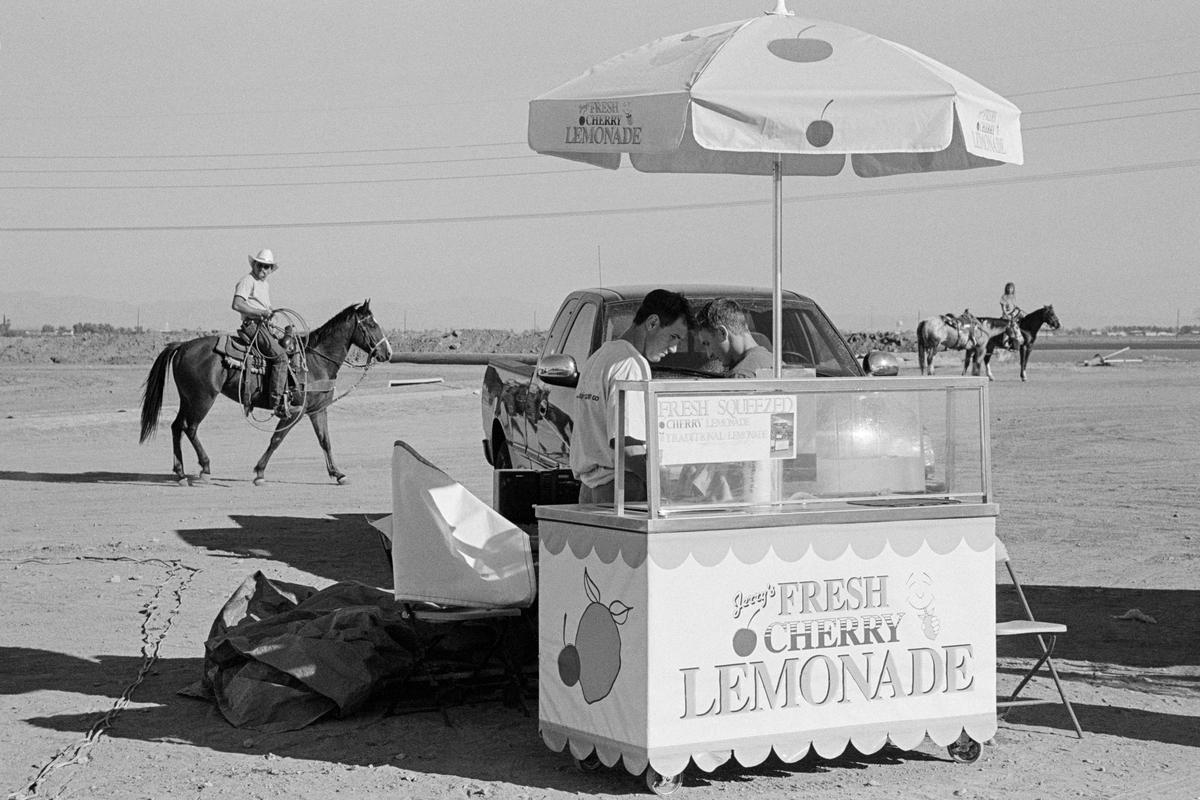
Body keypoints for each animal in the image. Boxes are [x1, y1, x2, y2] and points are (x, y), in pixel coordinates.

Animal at [140, 299, 391, 484]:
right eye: (371, 324)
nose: (387, 353)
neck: (315, 362)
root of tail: (182, 346)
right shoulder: (294, 411)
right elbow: (276, 439)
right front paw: (259, 472)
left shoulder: (317, 410)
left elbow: (325, 441)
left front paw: (338, 474)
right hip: (202, 399)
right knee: (189, 428)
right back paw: (205, 468)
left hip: (188, 398)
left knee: (176, 427)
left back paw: (181, 473)